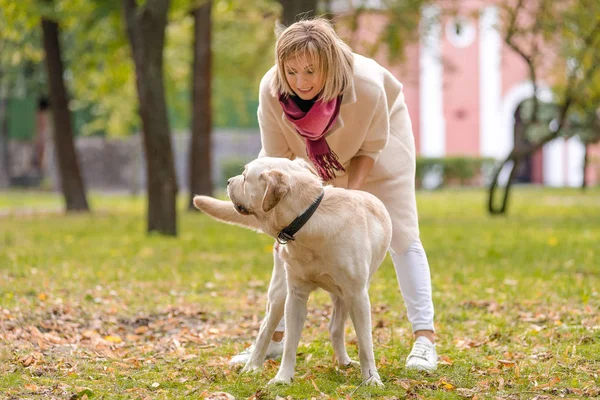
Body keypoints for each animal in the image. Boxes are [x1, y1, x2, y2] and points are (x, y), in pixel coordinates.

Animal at [191, 158, 390, 386]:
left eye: (245, 176)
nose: (228, 181)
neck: (308, 219)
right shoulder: (295, 295)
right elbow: (289, 345)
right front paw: (283, 378)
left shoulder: (357, 296)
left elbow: (365, 343)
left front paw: (371, 379)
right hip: (280, 293)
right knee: (265, 328)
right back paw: (252, 366)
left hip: (344, 296)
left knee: (335, 328)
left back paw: (344, 362)